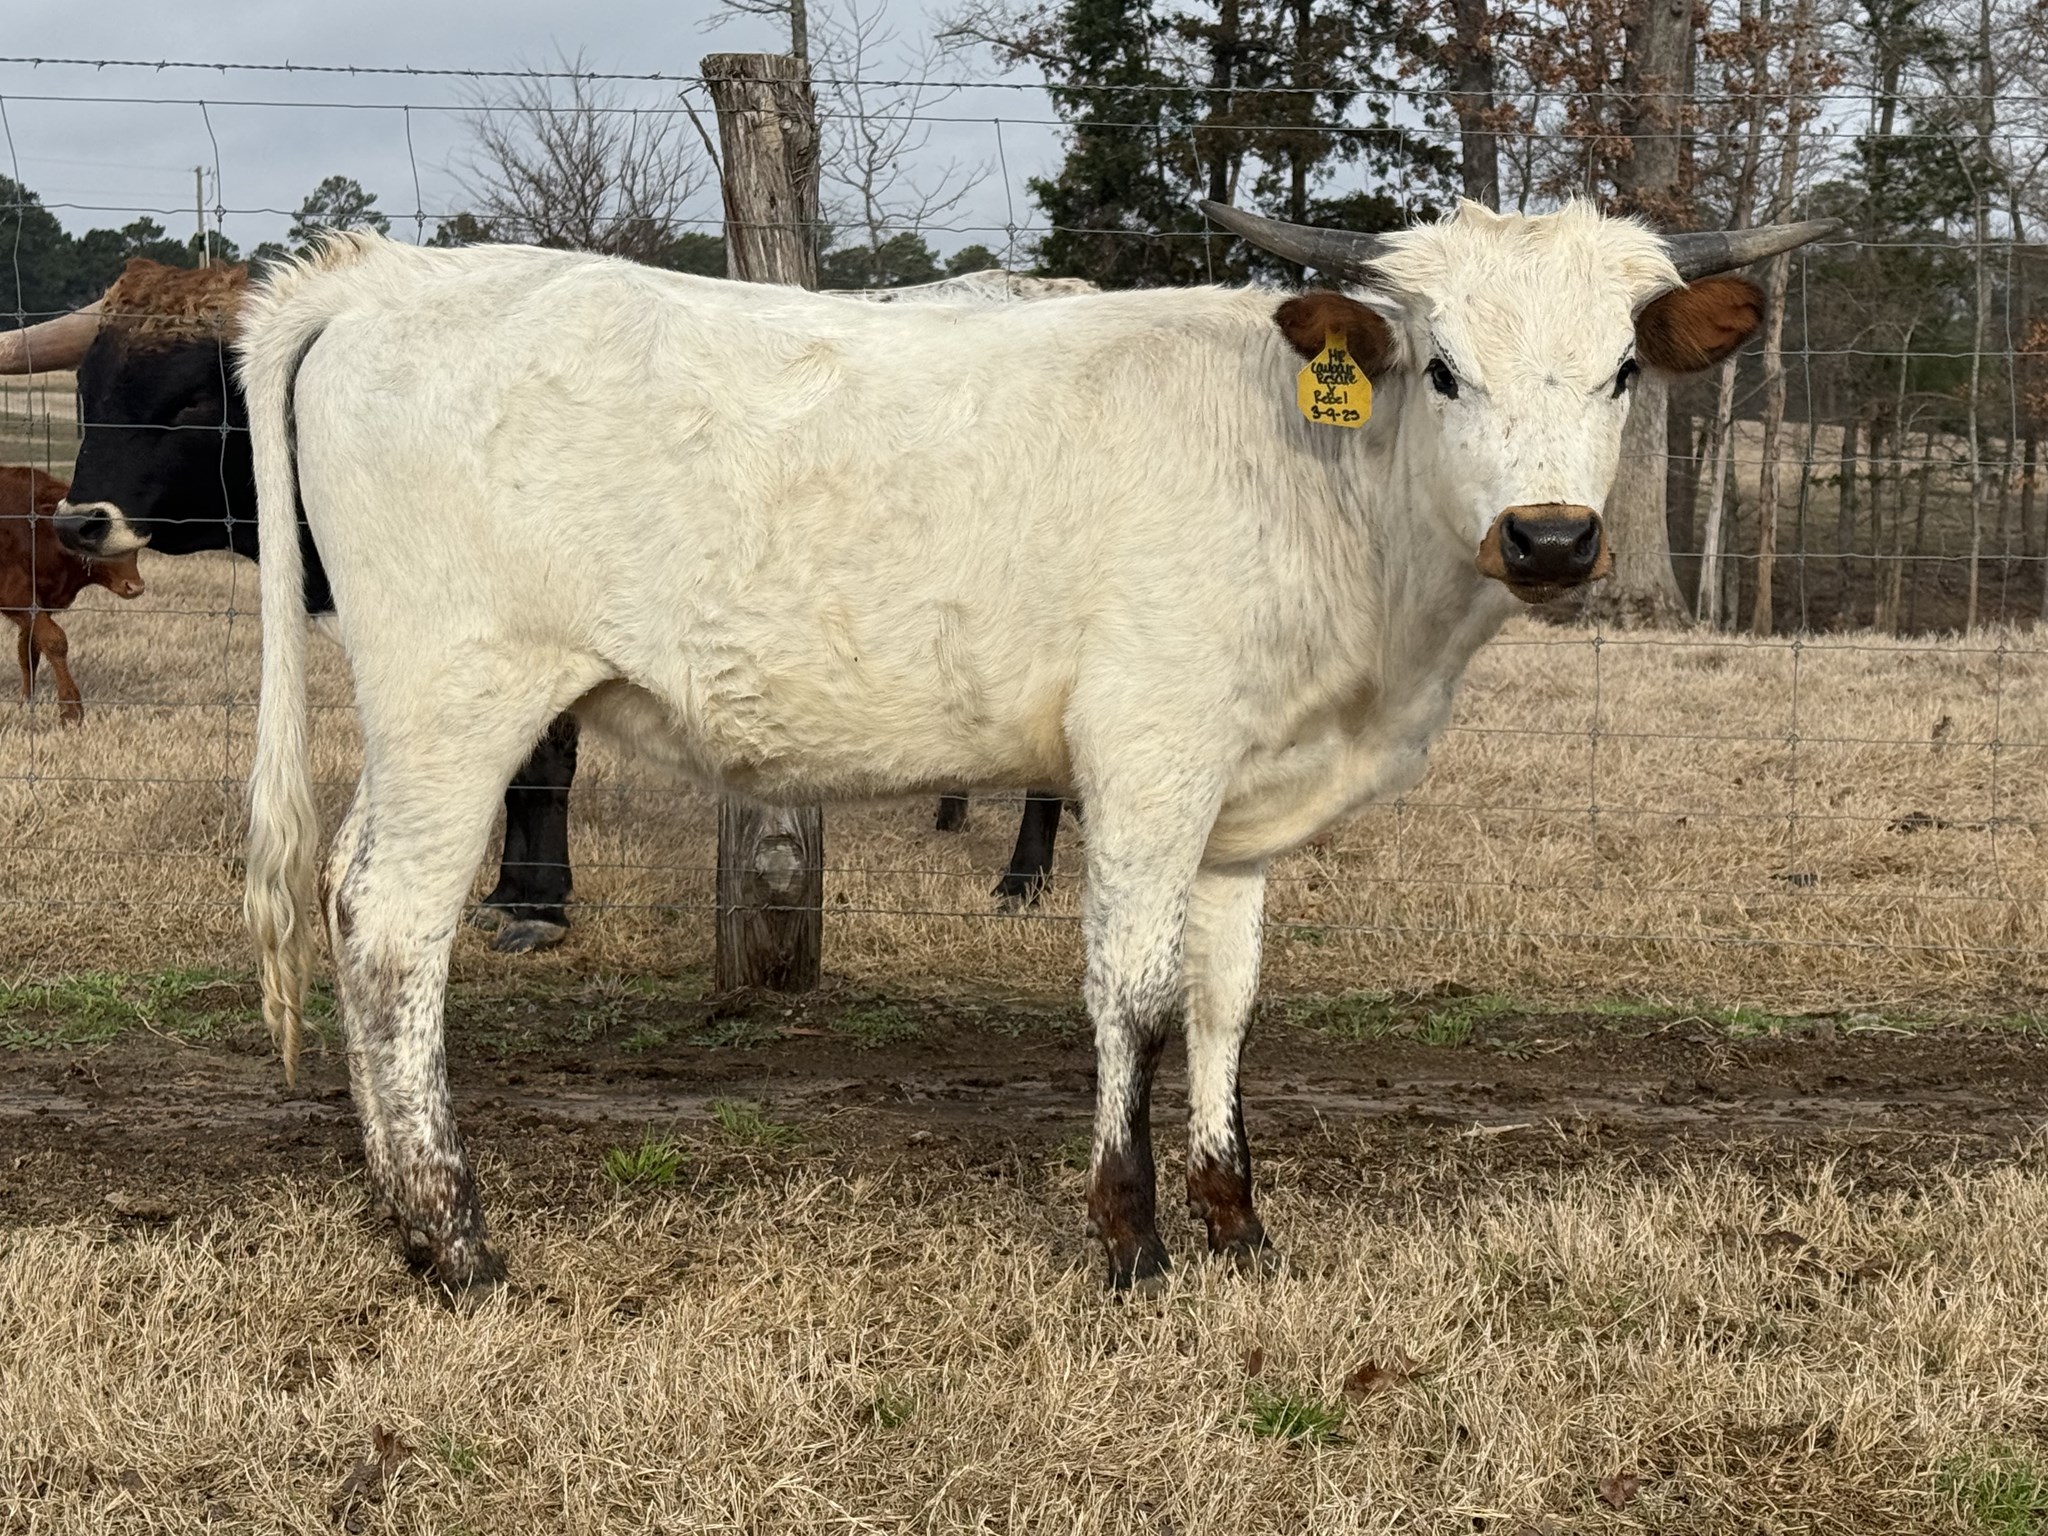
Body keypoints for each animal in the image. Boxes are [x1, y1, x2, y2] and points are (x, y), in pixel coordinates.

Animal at [0, 464, 145, 723]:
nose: (135, 586)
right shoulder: (16, 597)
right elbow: (55, 640)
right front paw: (71, 708)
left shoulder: (37, 606)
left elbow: (29, 652)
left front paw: (26, 701)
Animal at [223, 199, 1829, 1298]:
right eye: (1442, 369)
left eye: (1621, 372)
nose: (1552, 538)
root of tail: (388, 274)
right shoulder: (1148, 754)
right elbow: (1135, 994)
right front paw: (1129, 1238)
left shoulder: (1236, 798)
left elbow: (1228, 1003)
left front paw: (1238, 1224)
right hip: (461, 695)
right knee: (391, 923)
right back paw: (451, 1236)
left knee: (347, 890)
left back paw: (396, 1206)